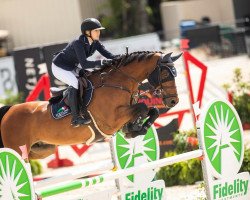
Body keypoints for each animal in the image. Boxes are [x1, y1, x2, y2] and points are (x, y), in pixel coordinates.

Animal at [0, 51, 181, 159]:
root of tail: (10, 110)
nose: (174, 101)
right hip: (17, 149)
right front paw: (136, 128)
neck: (118, 82)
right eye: (166, 73)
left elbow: (152, 110)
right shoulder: (111, 121)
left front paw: (136, 129)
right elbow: (143, 108)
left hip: (42, 149)